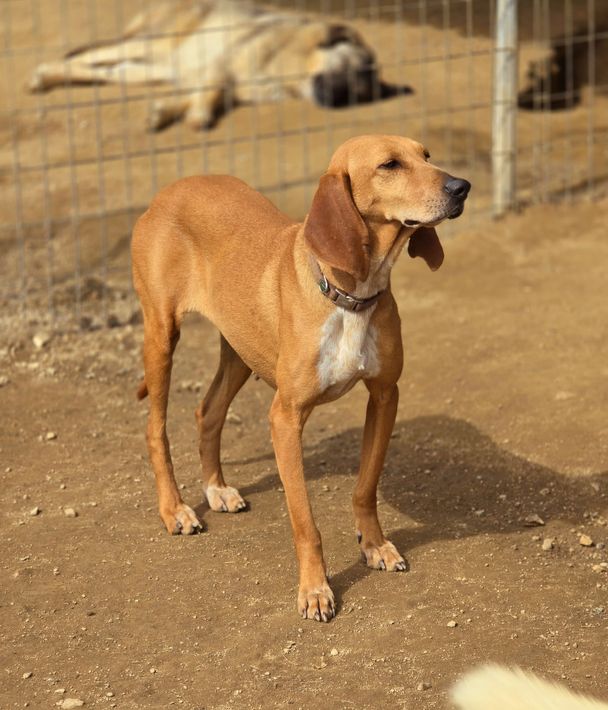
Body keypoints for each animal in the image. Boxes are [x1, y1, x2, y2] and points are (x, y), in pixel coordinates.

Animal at [29, 0, 409, 130]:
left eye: (360, 93)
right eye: (347, 69)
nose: (336, 102)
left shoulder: (213, 80)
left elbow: (203, 94)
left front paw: (168, 112)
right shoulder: (219, 66)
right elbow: (210, 89)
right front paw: (195, 116)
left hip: (145, 70)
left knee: (96, 71)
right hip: (149, 46)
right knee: (83, 57)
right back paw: (43, 75)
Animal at [131, 134, 470, 621]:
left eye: (426, 155)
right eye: (390, 165)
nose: (462, 187)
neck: (350, 295)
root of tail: (168, 191)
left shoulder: (385, 396)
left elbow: (365, 487)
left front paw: (375, 545)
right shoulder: (286, 418)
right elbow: (306, 523)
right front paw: (314, 589)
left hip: (240, 350)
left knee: (207, 411)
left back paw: (216, 490)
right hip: (162, 336)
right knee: (156, 430)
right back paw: (175, 509)